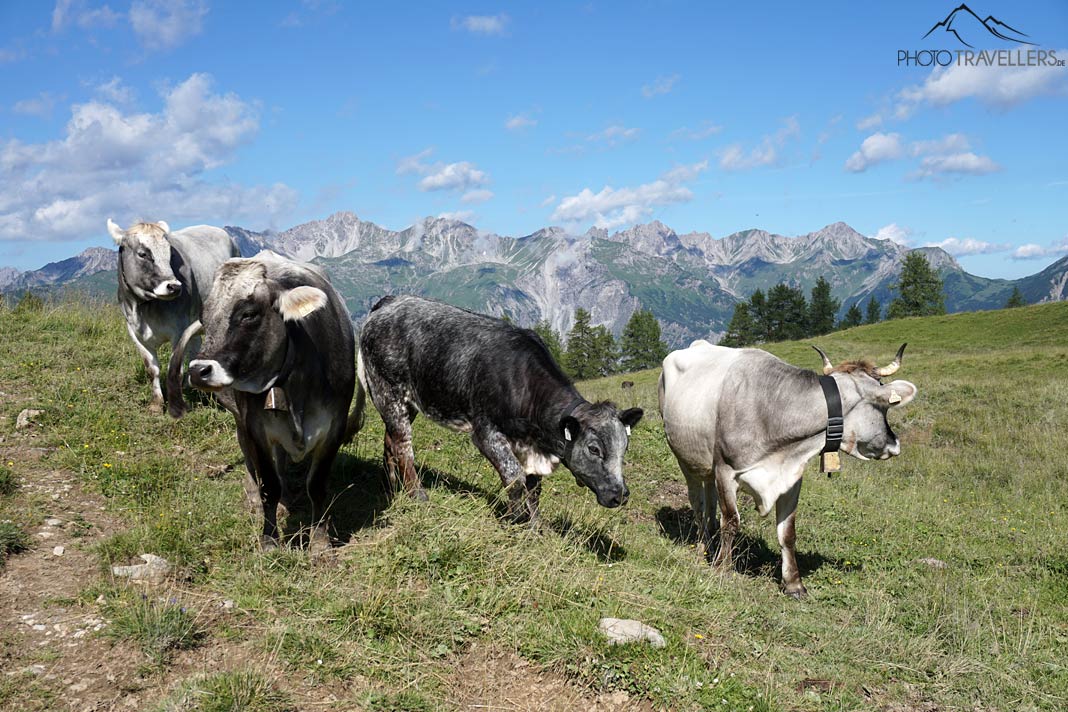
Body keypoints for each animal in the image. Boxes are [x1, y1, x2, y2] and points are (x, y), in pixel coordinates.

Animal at [108, 219, 240, 414]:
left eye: (169, 254)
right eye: (142, 254)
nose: (174, 286)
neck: (146, 309)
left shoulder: (178, 330)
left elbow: (174, 367)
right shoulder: (135, 333)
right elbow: (152, 369)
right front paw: (156, 404)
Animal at [167, 251, 359, 551]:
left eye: (249, 314)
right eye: (204, 316)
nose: (198, 371)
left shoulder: (334, 428)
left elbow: (316, 485)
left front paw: (319, 540)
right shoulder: (256, 427)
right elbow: (269, 484)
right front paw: (269, 539)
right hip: (240, 420)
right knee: (251, 459)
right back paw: (256, 498)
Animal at [356, 296, 643, 522]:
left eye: (624, 447)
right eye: (594, 449)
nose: (620, 495)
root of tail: (392, 301)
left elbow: (533, 487)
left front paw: (535, 526)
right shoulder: (486, 432)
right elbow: (515, 477)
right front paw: (517, 519)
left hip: (408, 402)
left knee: (390, 439)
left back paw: (392, 487)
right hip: (388, 390)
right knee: (402, 445)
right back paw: (417, 495)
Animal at [658, 341, 916, 597]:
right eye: (884, 408)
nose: (895, 443)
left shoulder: (791, 477)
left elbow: (787, 533)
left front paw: (793, 584)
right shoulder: (725, 470)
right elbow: (731, 522)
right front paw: (723, 568)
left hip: (707, 466)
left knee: (710, 502)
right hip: (684, 457)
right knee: (698, 503)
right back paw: (705, 546)